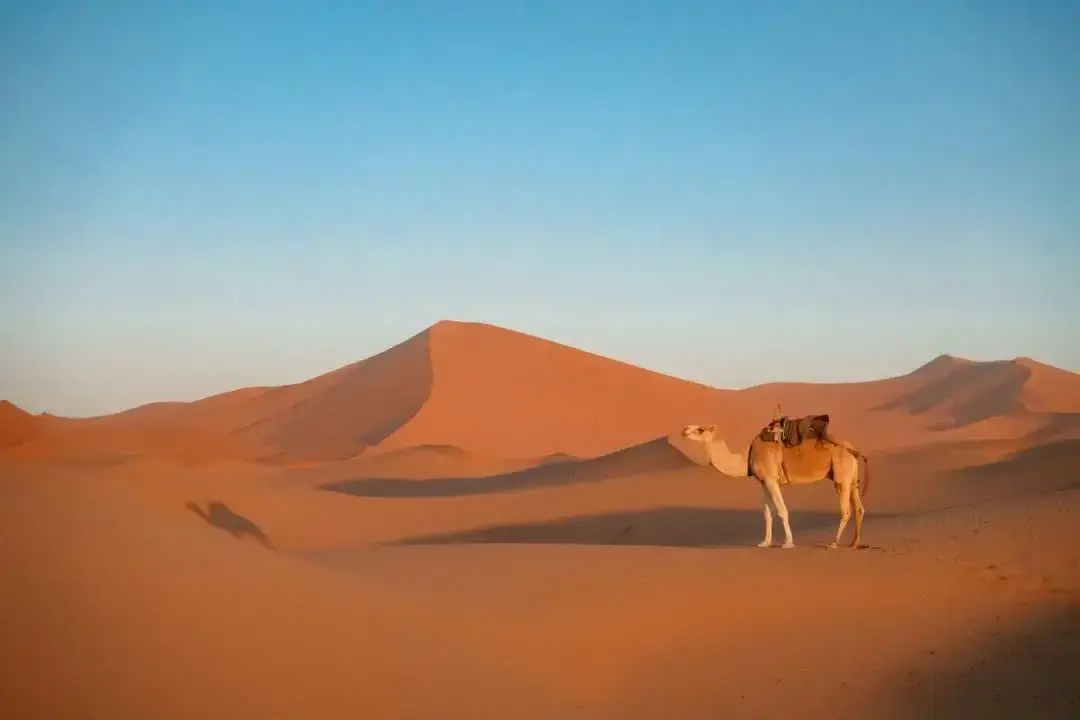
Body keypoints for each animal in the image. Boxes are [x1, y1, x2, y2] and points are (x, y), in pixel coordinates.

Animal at [680, 419, 869, 549]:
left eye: (700, 429)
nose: (684, 430)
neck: (747, 456)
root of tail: (853, 450)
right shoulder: (764, 482)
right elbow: (767, 513)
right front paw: (765, 542)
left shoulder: (771, 479)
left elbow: (782, 510)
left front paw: (788, 543)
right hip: (852, 479)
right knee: (859, 508)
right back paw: (854, 543)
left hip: (841, 477)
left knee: (845, 510)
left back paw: (834, 543)